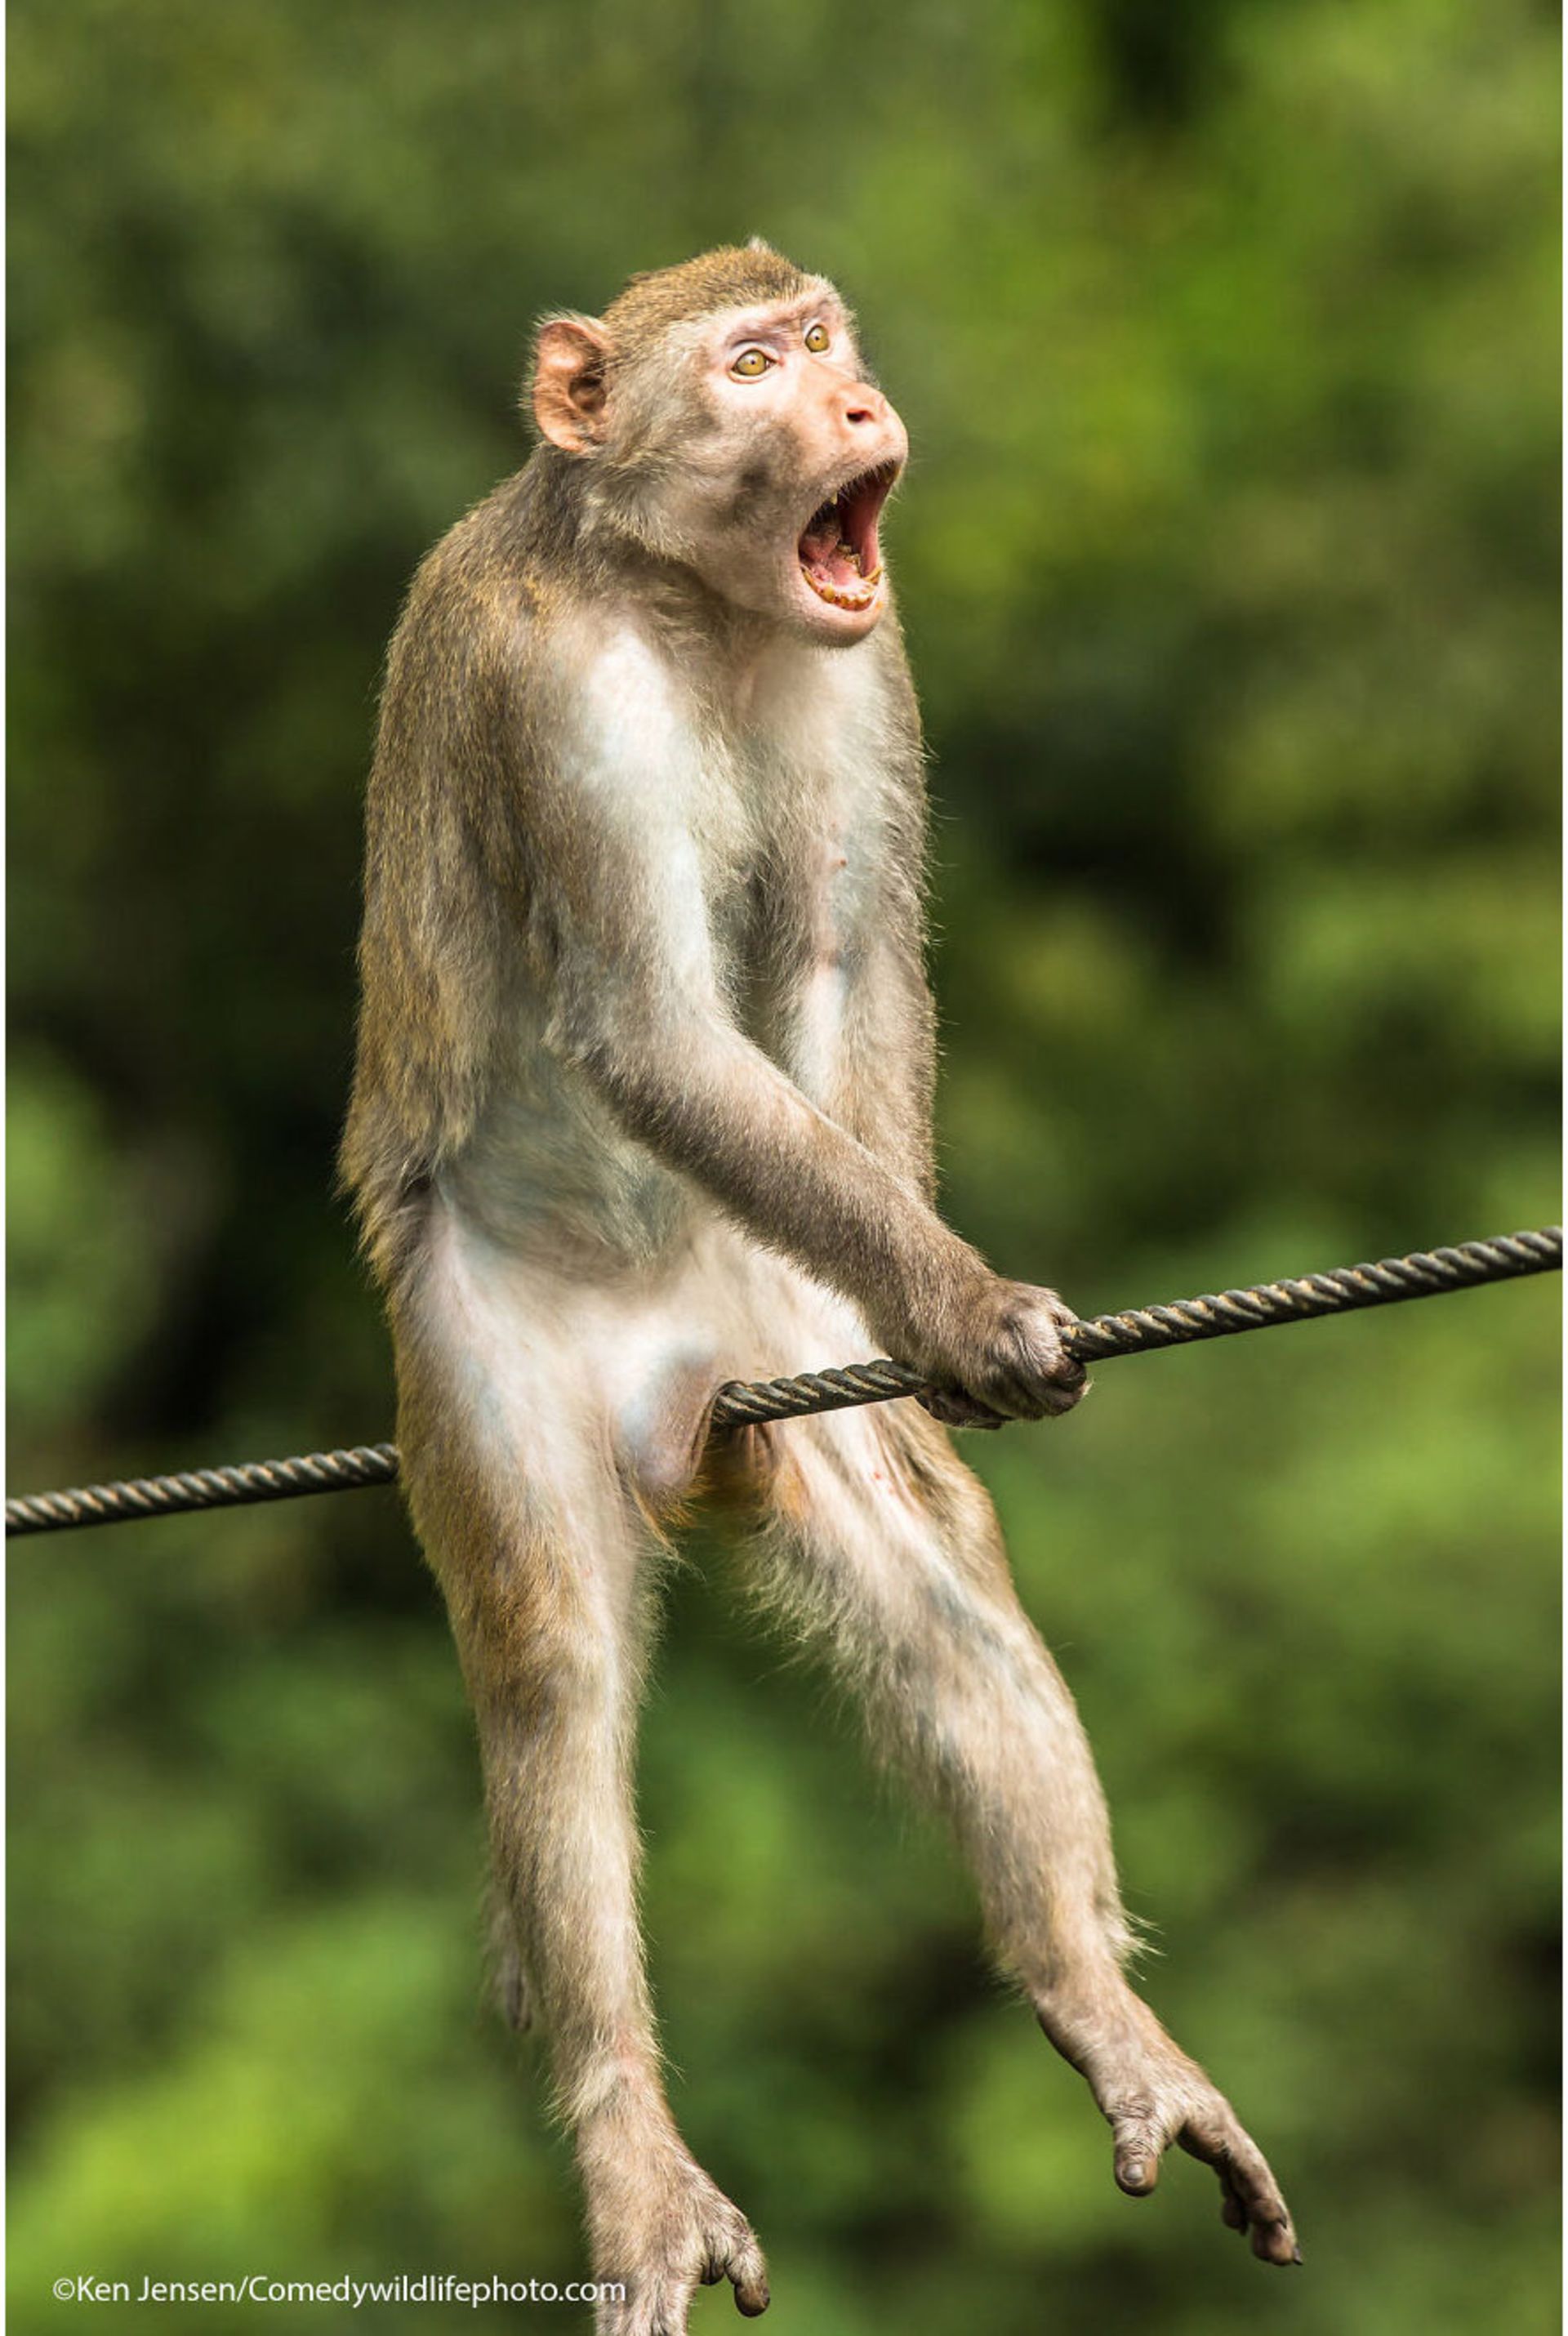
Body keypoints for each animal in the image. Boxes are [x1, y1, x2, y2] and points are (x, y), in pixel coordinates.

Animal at [340, 241, 1299, 2334]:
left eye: (827, 345)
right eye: (754, 363)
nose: (854, 408)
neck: (688, 601)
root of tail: (674, 1405)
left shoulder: (869, 659)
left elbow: (852, 960)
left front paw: (933, 1323)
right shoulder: (558, 689)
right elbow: (648, 1029)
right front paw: (968, 1309)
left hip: (765, 1319)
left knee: (933, 1581)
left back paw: (1096, 2004)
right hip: (481, 1352)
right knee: (551, 1659)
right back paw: (631, 2140)